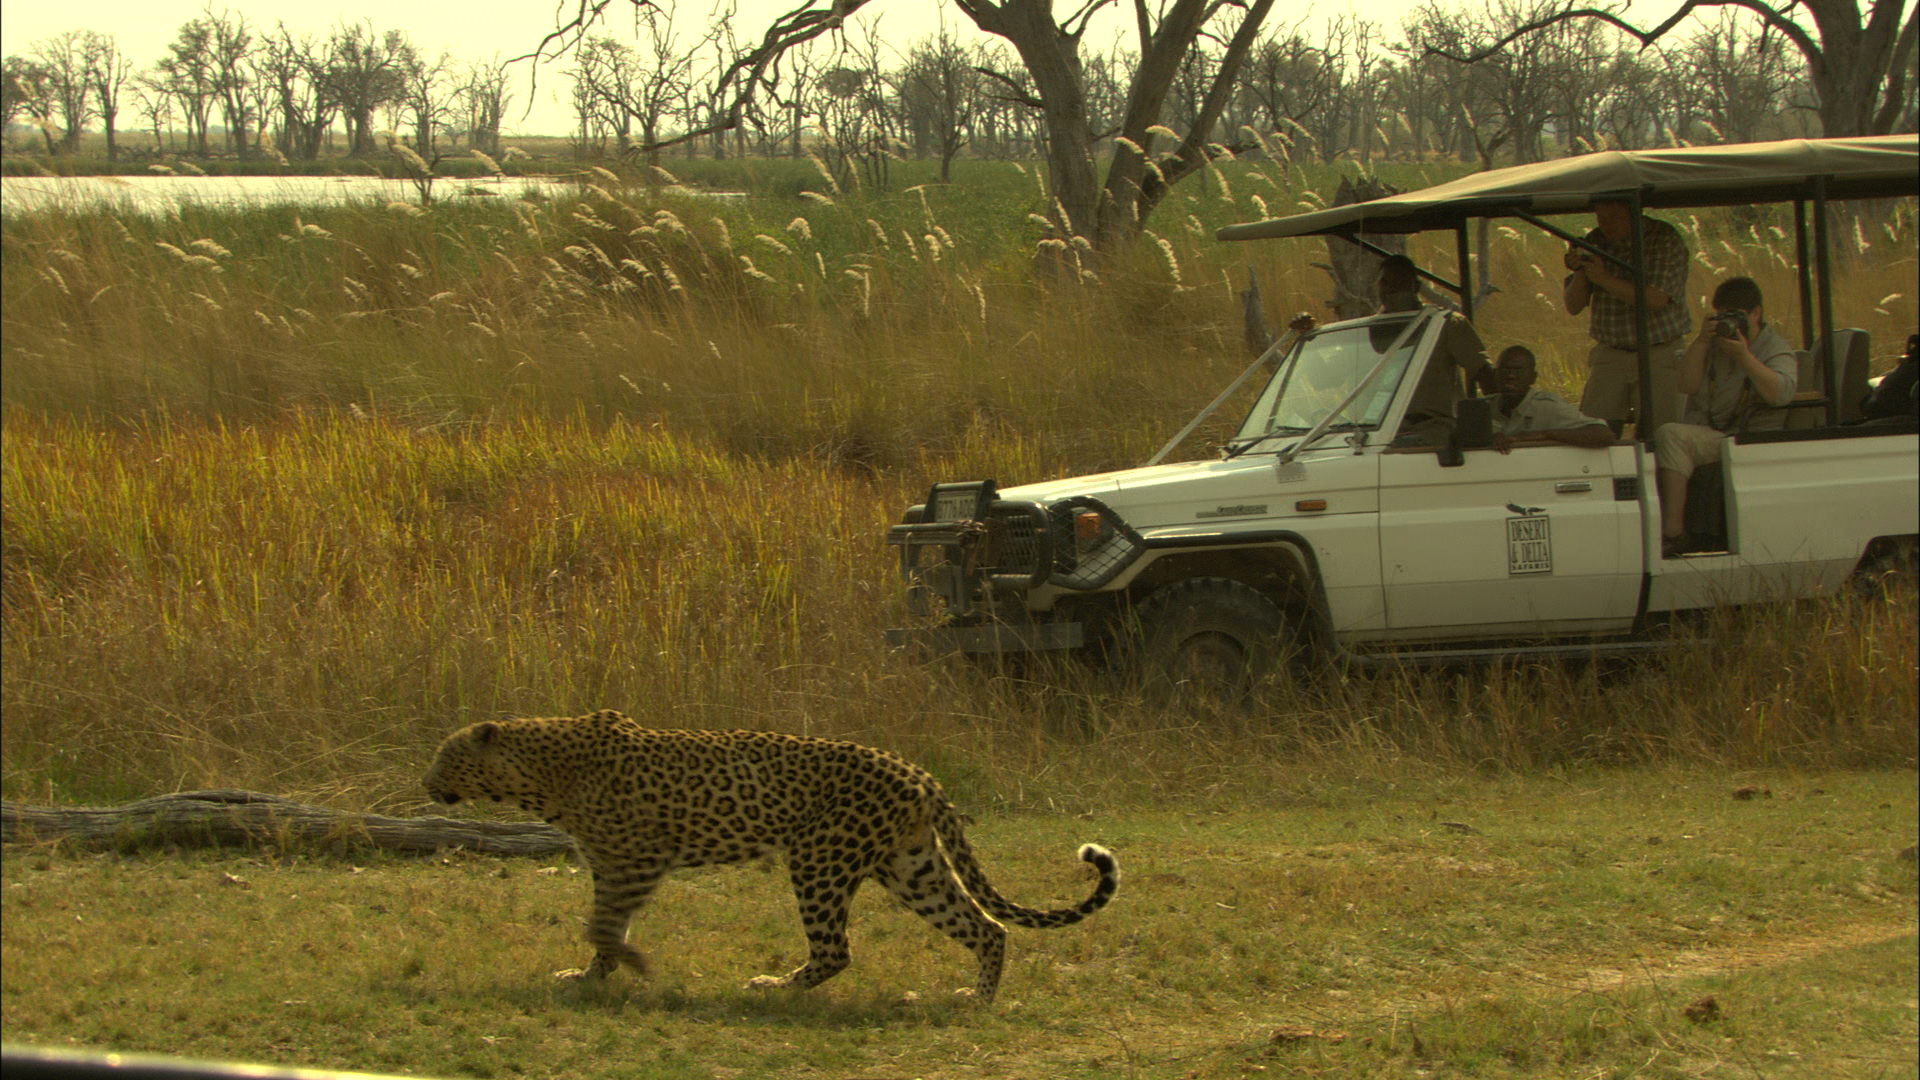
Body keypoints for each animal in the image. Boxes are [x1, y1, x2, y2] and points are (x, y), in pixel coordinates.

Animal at [422, 709, 1119, 1003]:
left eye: (444, 756)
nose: (426, 784)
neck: (538, 774)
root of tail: (919, 773)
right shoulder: (614, 865)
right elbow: (603, 928)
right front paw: (592, 977)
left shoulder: (635, 861)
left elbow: (602, 924)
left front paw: (629, 965)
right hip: (911, 868)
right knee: (988, 927)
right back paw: (972, 999)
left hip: (820, 860)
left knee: (837, 950)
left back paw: (773, 988)